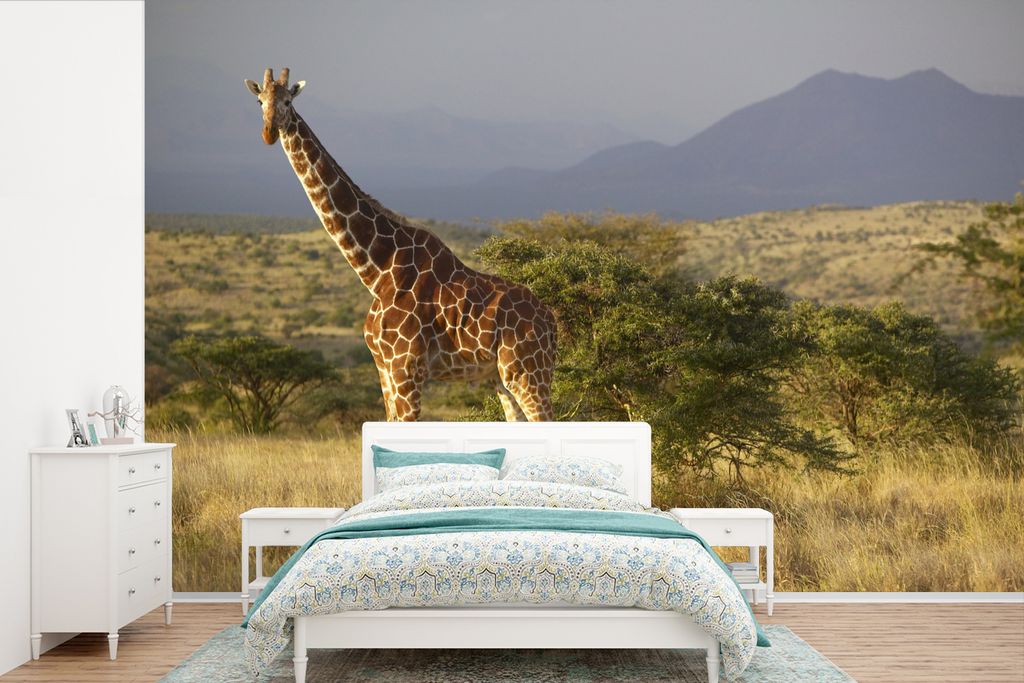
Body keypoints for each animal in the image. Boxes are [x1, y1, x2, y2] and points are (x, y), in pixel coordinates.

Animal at [244, 68, 556, 422]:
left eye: (287, 101)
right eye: (260, 101)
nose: (269, 132)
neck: (377, 269)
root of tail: (551, 322)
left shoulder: (407, 368)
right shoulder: (384, 369)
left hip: (528, 372)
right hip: (500, 378)